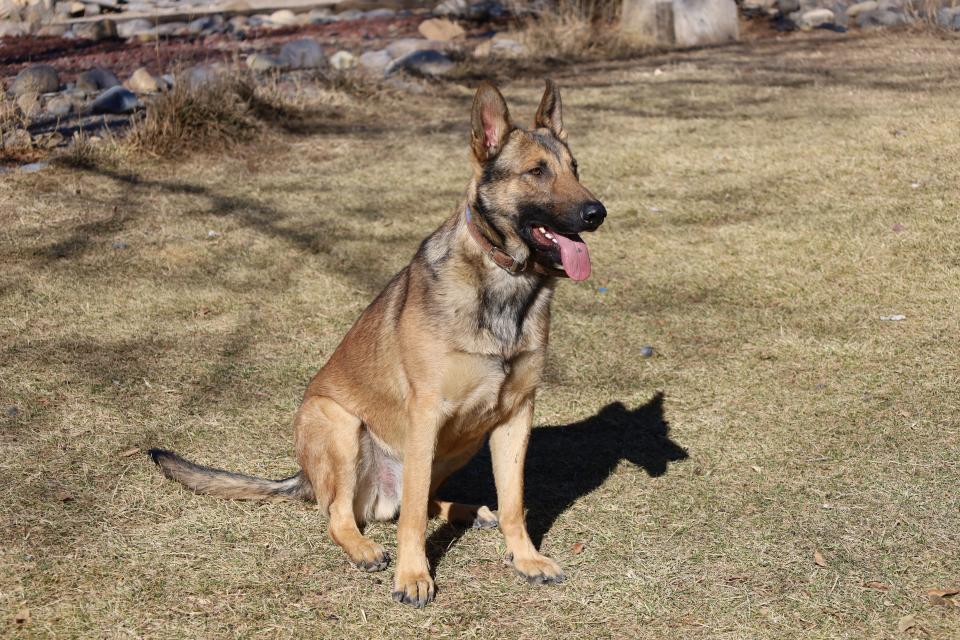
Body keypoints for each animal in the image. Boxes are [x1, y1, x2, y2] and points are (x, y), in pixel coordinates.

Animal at [150, 79, 608, 604]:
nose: (597, 213)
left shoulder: (515, 415)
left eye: (575, 169)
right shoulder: (426, 413)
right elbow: (411, 520)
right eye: (536, 171)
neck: (503, 281)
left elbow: (513, 502)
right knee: (347, 514)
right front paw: (413, 576)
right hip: (339, 422)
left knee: (419, 501)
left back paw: (469, 511)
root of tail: (306, 478)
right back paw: (365, 548)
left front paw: (526, 558)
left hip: (464, 439)